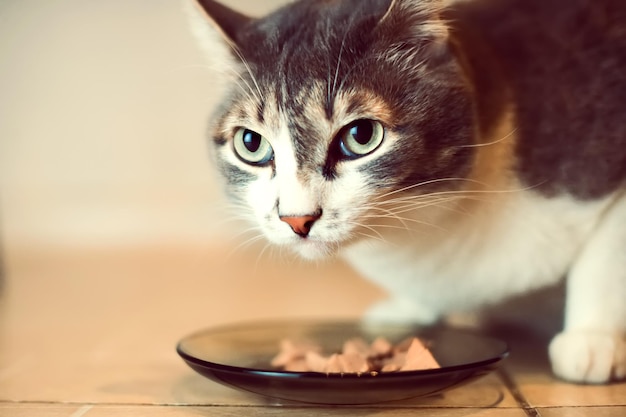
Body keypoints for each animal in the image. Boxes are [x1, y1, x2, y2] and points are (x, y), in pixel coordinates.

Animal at [185, 0, 624, 384]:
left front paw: (592, 342)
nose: (297, 219)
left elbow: (603, 259)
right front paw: (410, 310)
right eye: (250, 143)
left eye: (362, 135)